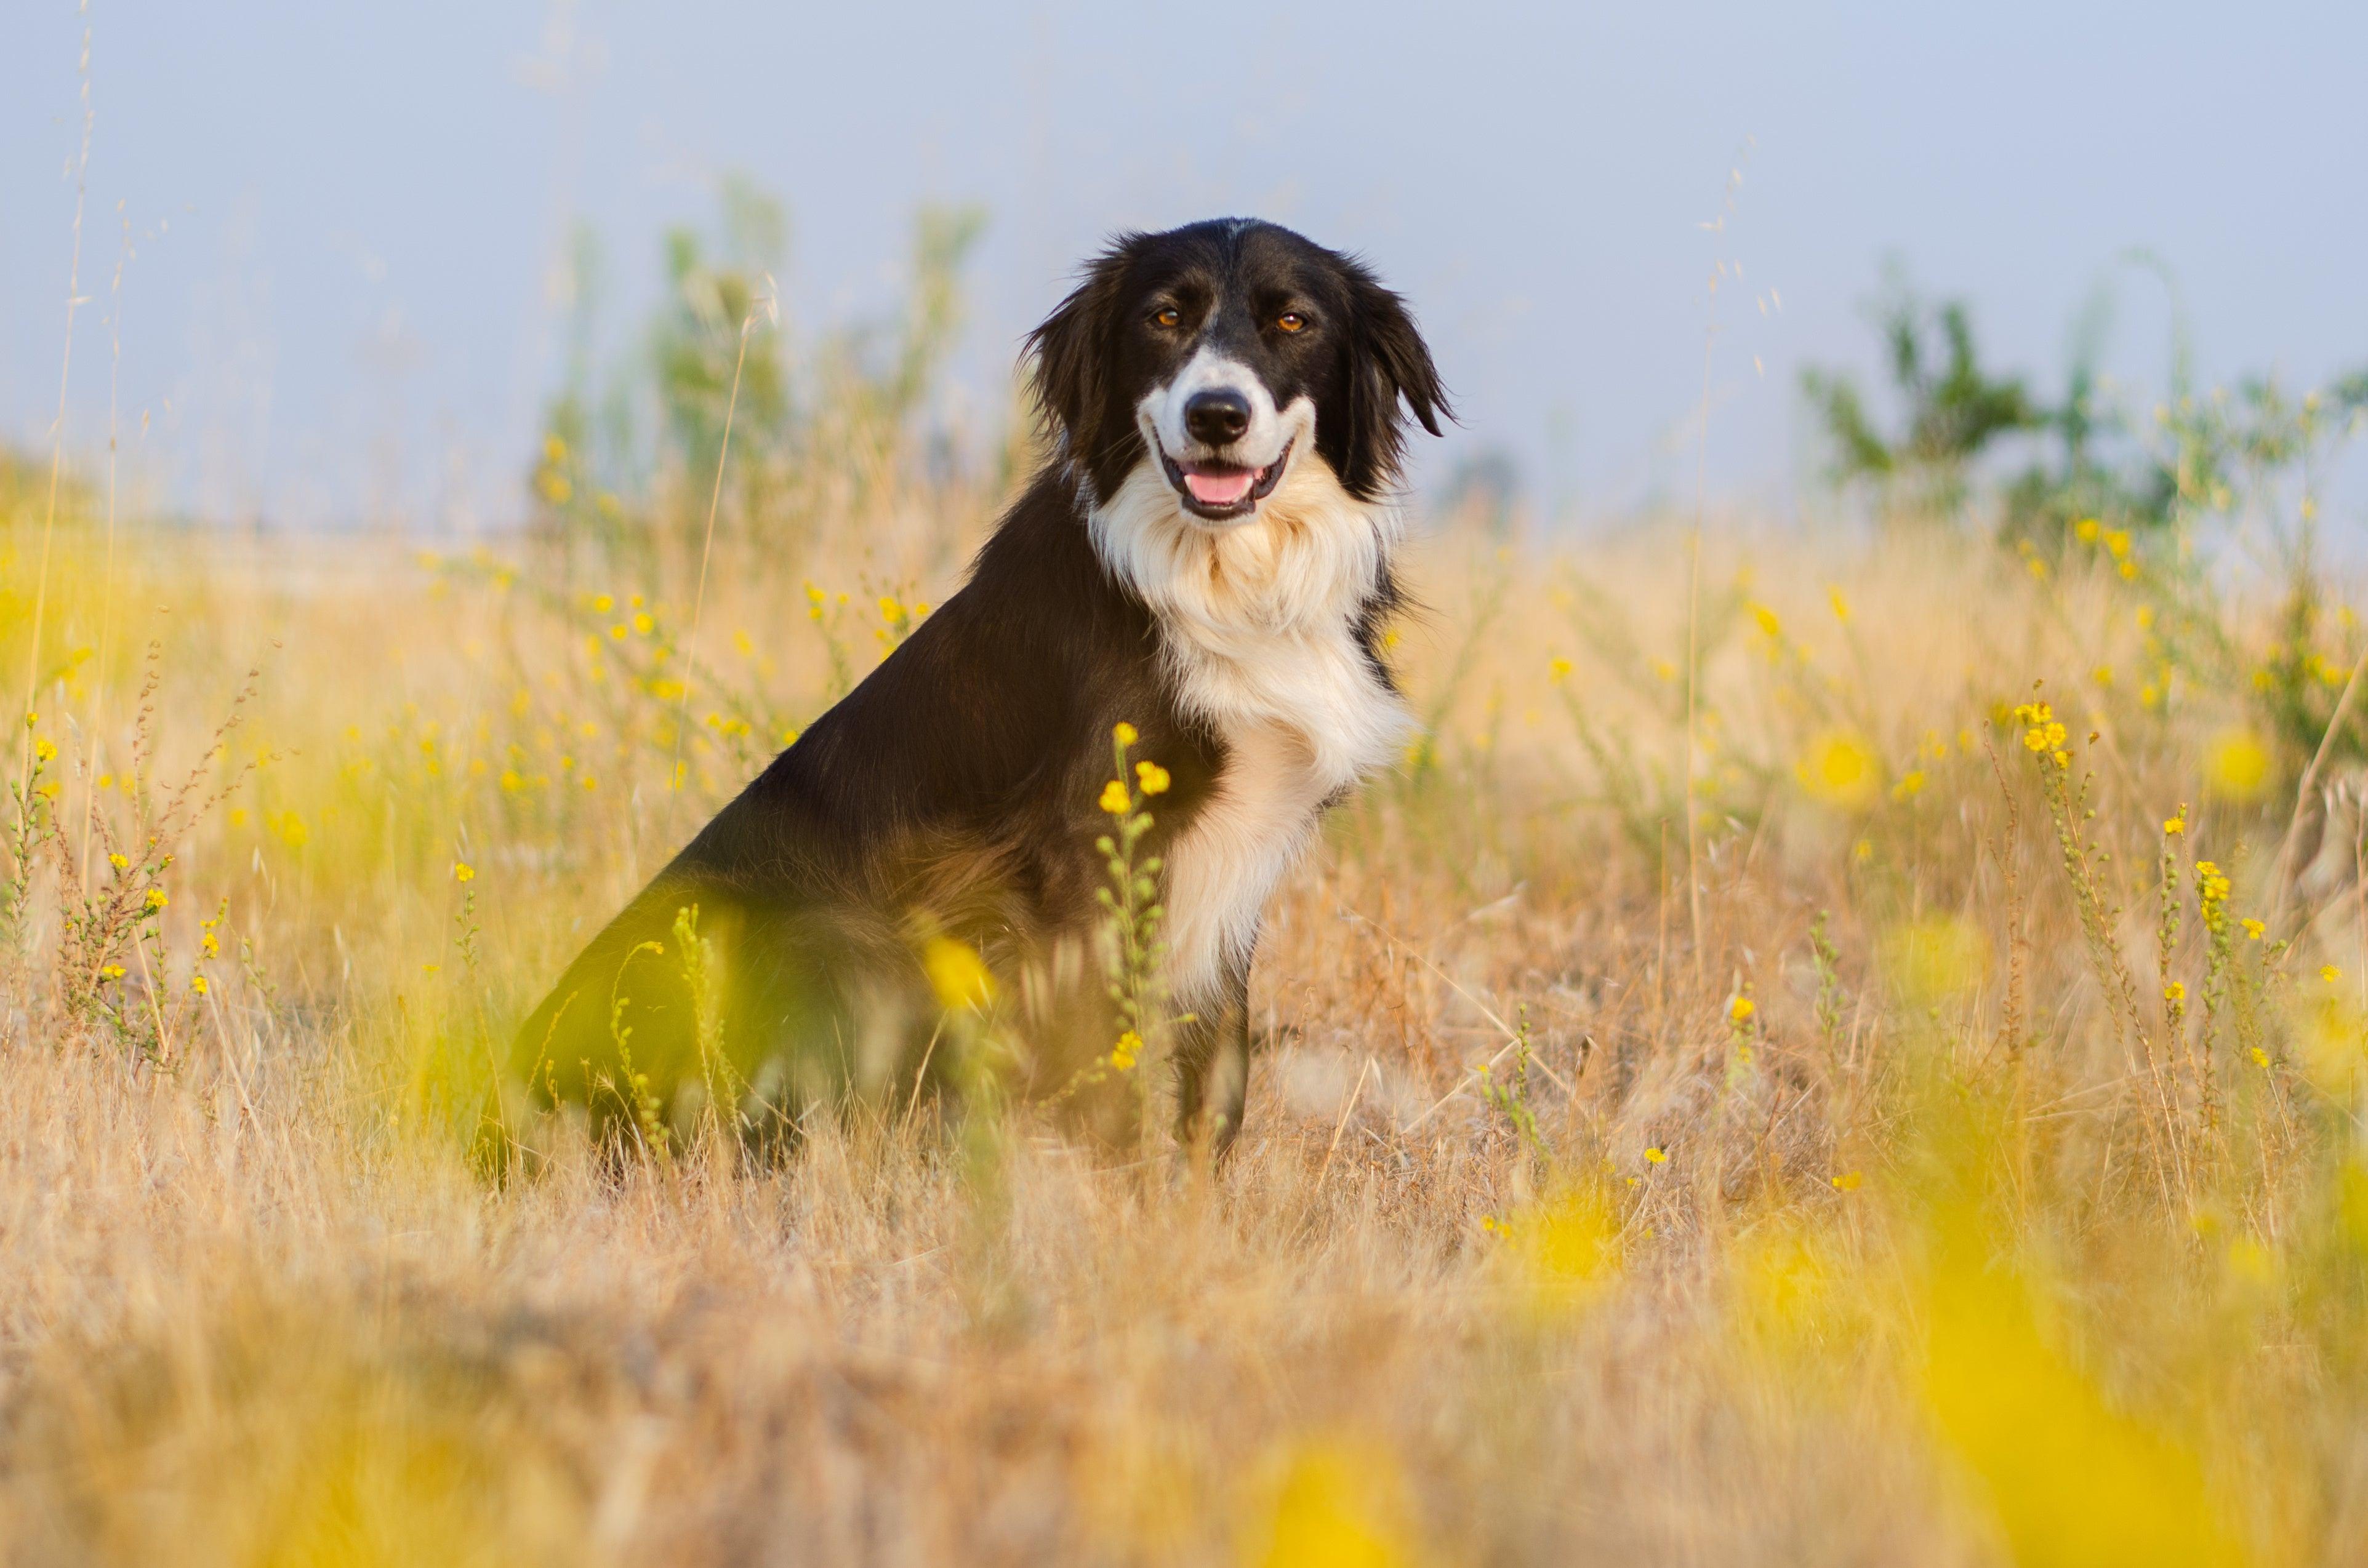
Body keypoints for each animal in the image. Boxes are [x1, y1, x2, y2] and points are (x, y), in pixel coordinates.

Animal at [516, 218, 1439, 1156]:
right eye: (1165, 316)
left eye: (1292, 322)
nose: (1215, 414)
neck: (1222, 582)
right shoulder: (1087, 845)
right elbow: (1110, 1062)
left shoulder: (1240, 855)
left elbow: (1219, 1073)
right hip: (829, 927)